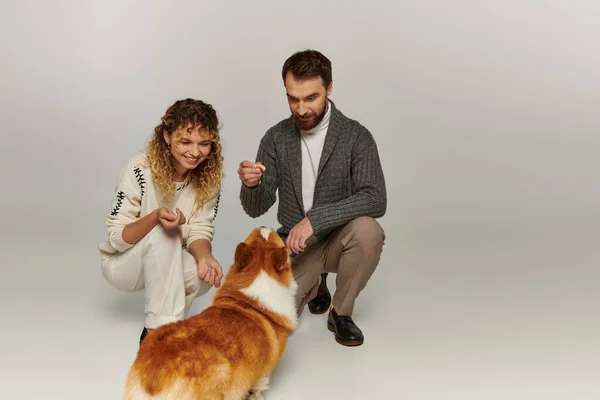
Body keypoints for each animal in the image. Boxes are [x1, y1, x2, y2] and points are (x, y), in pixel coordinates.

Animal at [122, 228, 300, 400]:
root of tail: (154, 381)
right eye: (273, 237)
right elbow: (258, 387)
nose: (263, 225)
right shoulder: (263, 373)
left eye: (258, 237)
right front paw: (256, 397)